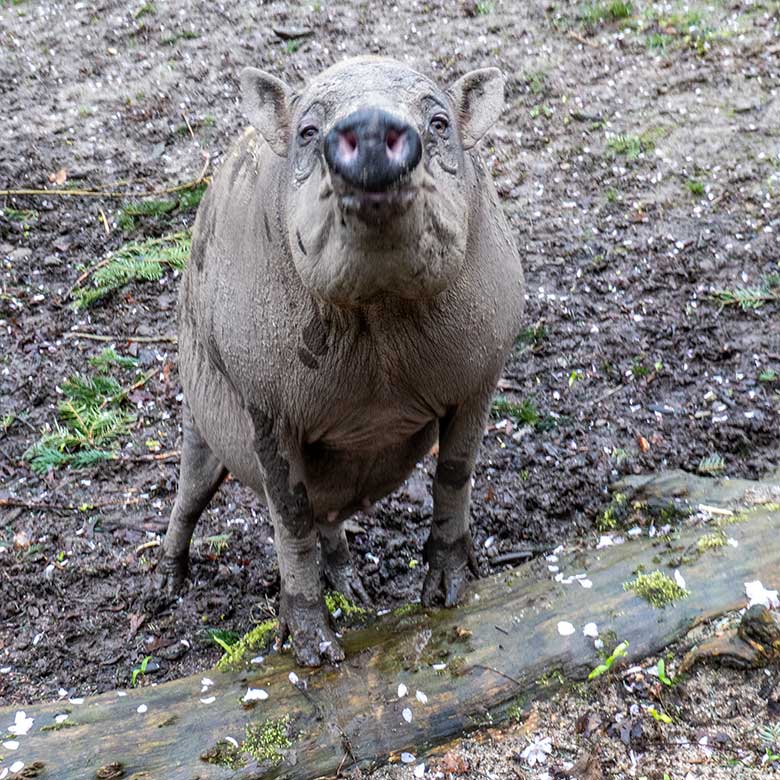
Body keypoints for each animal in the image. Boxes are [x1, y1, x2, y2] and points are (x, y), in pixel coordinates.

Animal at [156, 56, 524, 664]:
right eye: (308, 130)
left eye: (439, 121)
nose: (371, 122)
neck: (378, 312)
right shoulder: (265, 405)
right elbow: (289, 516)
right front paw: (317, 654)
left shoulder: (481, 374)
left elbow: (454, 473)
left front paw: (444, 599)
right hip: (195, 411)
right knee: (191, 495)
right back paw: (163, 590)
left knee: (327, 516)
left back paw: (356, 591)